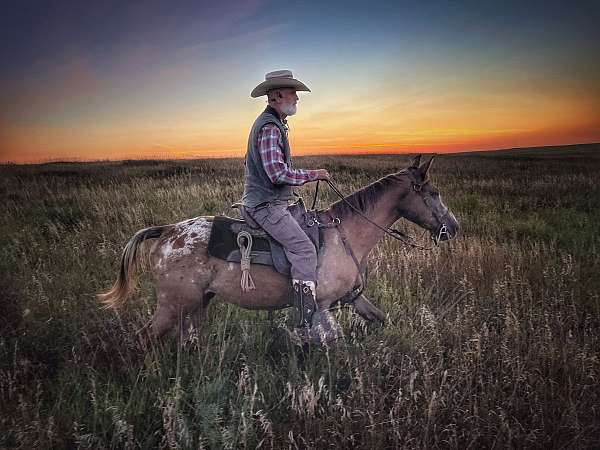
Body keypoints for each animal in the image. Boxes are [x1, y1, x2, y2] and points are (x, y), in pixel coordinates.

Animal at [98, 156, 458, 344]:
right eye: (434, 193)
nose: (453, 228)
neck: (344, 235)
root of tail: (168, 231)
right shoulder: (321, 305)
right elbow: (332, 342)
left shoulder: (352, 298)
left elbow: (380, 318)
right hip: (173, 305)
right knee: (145, 337)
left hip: (196, 305)